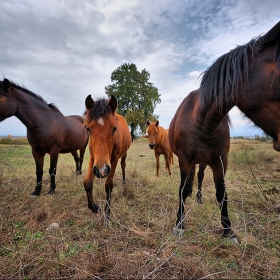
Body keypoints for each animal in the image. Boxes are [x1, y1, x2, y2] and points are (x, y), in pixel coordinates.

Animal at [168, 20, 280, 242]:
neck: (203, 121)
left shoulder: (221, 161)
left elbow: (222, 193)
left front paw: (228, 230)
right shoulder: (184, 158)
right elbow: (182, 190)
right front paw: (179, 223)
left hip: (204, 162)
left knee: (199, 176)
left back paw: (198, 197)